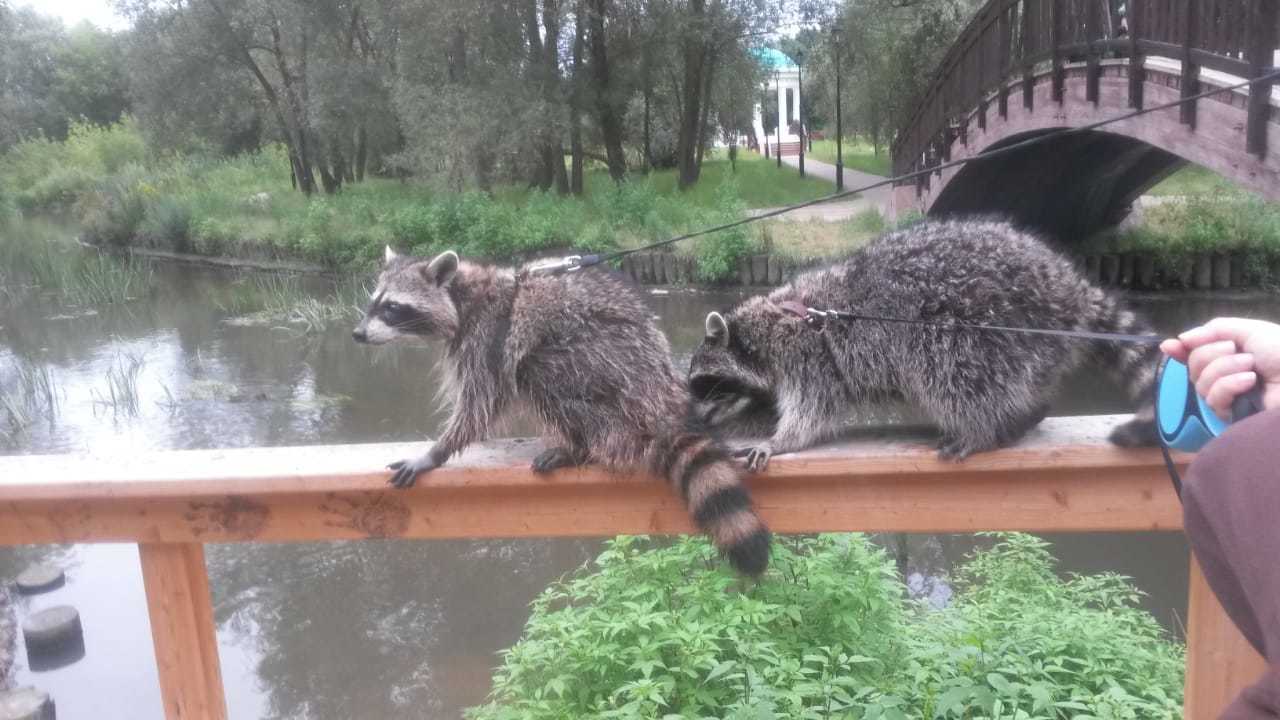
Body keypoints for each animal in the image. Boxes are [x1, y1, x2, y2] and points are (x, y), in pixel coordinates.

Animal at [350, 244, 768, 571]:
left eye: (392, 307)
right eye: (374, 302)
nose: (357, 334)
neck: (465, 296)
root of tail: (660, 398)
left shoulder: (489, 340)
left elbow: (479, 405)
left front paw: (438, 450)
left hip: (605, 369)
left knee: (540, 370)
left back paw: (577, 446)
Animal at [691, 215, 1162, 468]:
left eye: (703, 385)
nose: (693, 416)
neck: (767, 322)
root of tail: (1067, 286)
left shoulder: (809, 356)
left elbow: (813, 410)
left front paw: (780, 440)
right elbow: (766, 405)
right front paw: (749, 419)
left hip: (988, 324)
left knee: (949, 372)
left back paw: (986, 426)